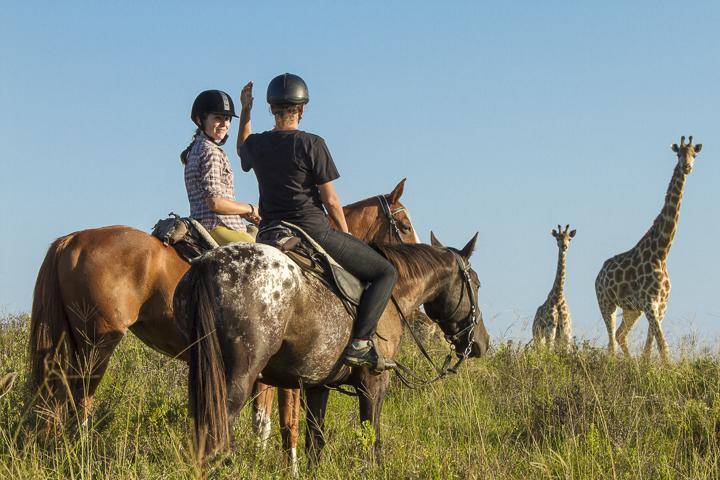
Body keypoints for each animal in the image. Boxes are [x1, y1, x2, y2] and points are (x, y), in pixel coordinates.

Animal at [28, 178, 416, 430]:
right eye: (404, 223)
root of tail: (72, 239)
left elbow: (267, 419)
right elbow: (280, 423)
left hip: (71, 342)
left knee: (57, 398)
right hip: (97, 343)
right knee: (79, 401)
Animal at [176, 233, 490, 464]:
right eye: (476, 283)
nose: (481, 344)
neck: (393, 295)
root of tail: (207, 262)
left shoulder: (318, 386)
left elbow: (315, 443)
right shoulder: (374, 383)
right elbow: (372, 442)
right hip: (236, 378)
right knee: (218, 430)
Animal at [596, 135, 704, 360]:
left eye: (695, 154)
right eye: (678, 154)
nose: (687, 167)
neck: (662, 252)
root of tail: (599, 274)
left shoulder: (661, 306)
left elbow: (651, 347)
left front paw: (646, 366)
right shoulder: (649, 303)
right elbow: (662, 345)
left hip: (631, 310)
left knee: (620, 335)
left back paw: (630, 362)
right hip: (606, 302)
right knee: (611, 341)